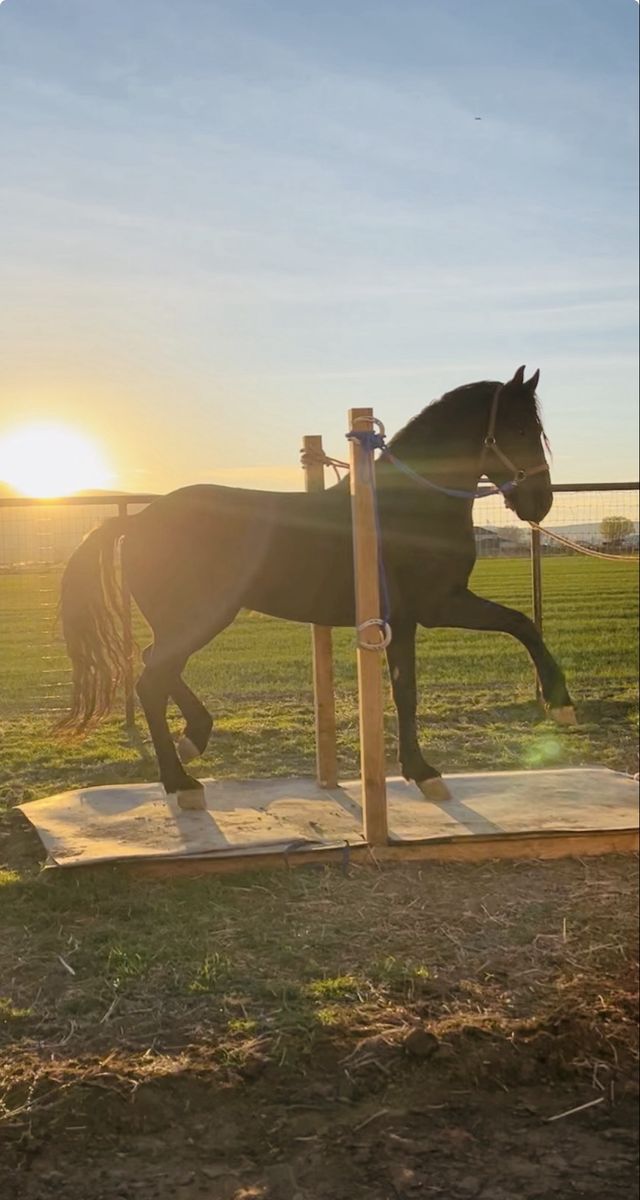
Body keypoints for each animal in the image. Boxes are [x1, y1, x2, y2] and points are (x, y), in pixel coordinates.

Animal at [59, 365, 575, 806]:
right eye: (521, 430)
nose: (540, 502)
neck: (410, 505)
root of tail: (139, 520)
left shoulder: (411, 619)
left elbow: (423, 680)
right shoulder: (434, 607)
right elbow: (512, 628)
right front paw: (558, 704)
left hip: (187, 622)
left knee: (156, 669)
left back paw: (194, 739)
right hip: (199, 619)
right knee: (151, 681)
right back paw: (180, 781)